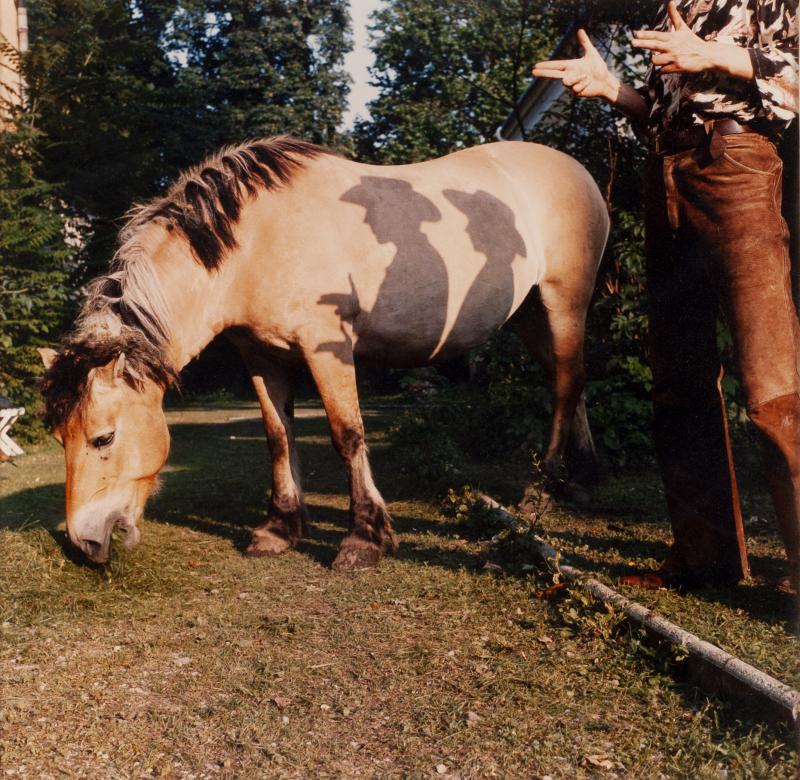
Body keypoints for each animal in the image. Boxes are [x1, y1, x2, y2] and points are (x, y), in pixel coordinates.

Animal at [39, 137, 608, 568]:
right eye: (59, 437)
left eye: (103, 437)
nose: (84, 542)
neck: (254, 242)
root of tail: (577, 172)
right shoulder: (263, 359)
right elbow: (277, 437)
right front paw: (281, 527)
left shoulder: (326, 349)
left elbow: (347, 435)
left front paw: (364, 538)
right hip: (529, 314)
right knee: (570, 378)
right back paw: (583, 478)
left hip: (564, 302)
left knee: (565, 383)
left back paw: (543, 486)